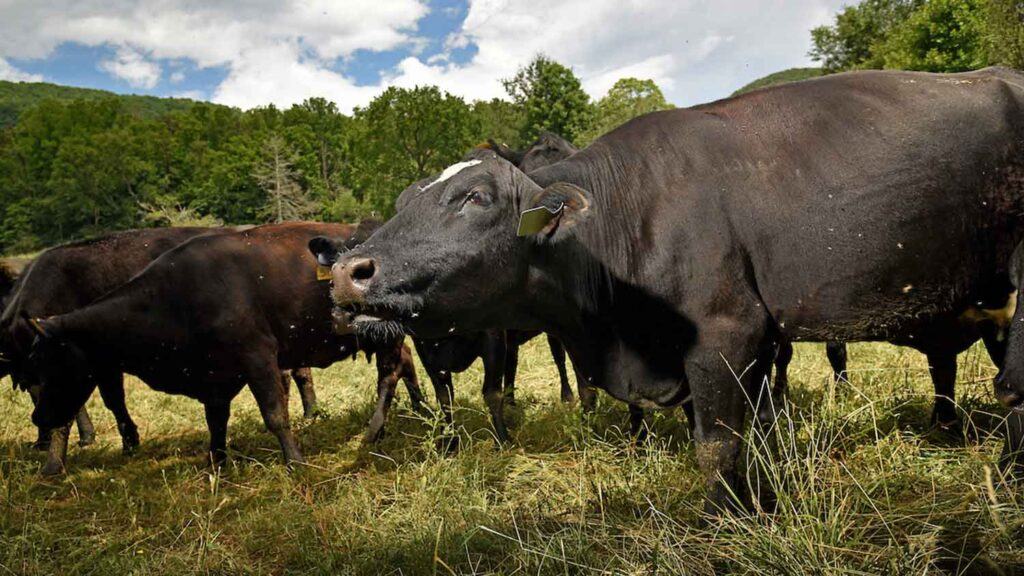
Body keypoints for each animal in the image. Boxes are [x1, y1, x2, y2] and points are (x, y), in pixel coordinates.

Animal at [26, 222, 422, 474]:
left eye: (52, 362)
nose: (38, 418)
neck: (177, 297)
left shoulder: (258, 356)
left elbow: (275, 414)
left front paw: (295, 461)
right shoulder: (214, 375)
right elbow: (215, 421)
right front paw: (216, 462)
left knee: (388, 375)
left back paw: (374, 430)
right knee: (404, 364)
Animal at [323, 67, 1024, 513]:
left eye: (474, 197)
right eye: (403, 201)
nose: (349, 270)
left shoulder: (726, 332)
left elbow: (716, 445)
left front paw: (729, 521)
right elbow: (749, 437)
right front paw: (762, 503)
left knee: (1013, 387)